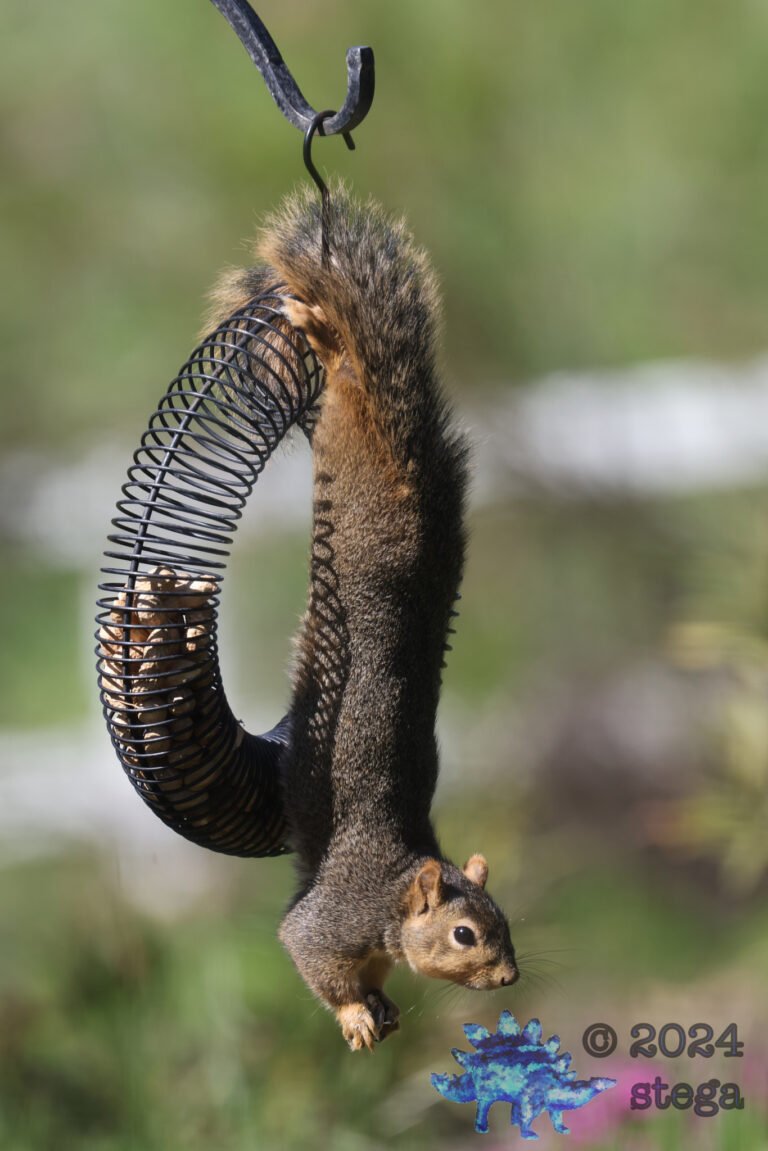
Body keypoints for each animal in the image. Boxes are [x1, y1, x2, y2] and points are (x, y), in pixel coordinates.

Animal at [209, 184, 518, 1050]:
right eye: (464, 933)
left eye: (505, 921)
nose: (510, 977)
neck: (390, 895)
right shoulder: (327, 920)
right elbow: (304, 952)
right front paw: (353, 1013)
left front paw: (377, 1007)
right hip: (352, 472)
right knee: (351, 372)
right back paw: (324, 333)